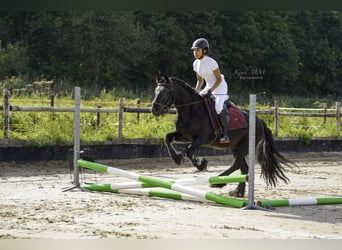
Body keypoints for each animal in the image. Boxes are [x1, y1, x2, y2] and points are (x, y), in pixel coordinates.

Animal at [152, 75, 294, 196]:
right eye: (155, 91)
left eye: (164, 93)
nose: (154, 110)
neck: (191, 110)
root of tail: (259, 121)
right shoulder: (184, 136)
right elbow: (167, 138)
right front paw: (177, 158)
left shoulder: (202, 139)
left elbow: (188, 150)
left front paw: (201, 164)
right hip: (235, 147)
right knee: (243, 168)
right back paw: (237, 192)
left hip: (245, 146)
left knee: (237, 165)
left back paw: (219, 181)